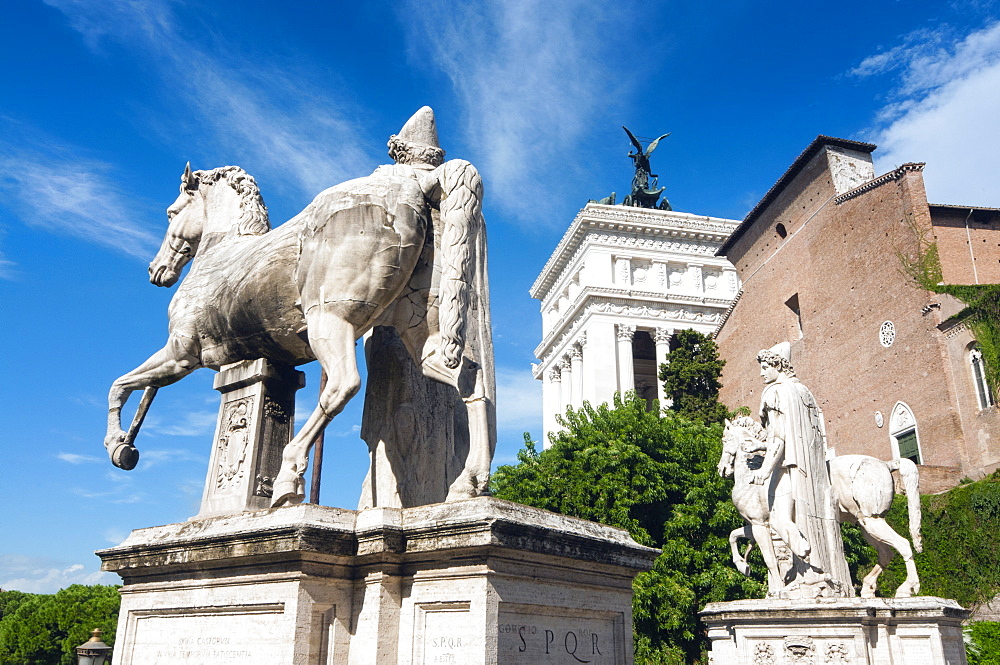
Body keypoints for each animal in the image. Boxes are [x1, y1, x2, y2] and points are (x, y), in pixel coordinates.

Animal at [102, 158, 492, 506]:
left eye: (171, 212)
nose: (156, 270)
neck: (222, 251)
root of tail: (418, 183)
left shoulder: (181, 353)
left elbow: (120, 385)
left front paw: (117, 444)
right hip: (422, 334)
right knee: (471, 381)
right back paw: (470, 483)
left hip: (329, 323)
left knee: (342, 385)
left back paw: (287, 481)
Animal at [720, 416, 920, 596]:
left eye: (724, 440)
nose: (721, 469)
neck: (750, 476)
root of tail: (886, 464)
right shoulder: (758, 524)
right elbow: (733, 535)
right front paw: (743, 566)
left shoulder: (759, 524)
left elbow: (769, 559)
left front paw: (777, 589)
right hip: (865, 524)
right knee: (886, 553)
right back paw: (866, 588)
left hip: (872, 519)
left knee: (903, 544)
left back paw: (907, 588)